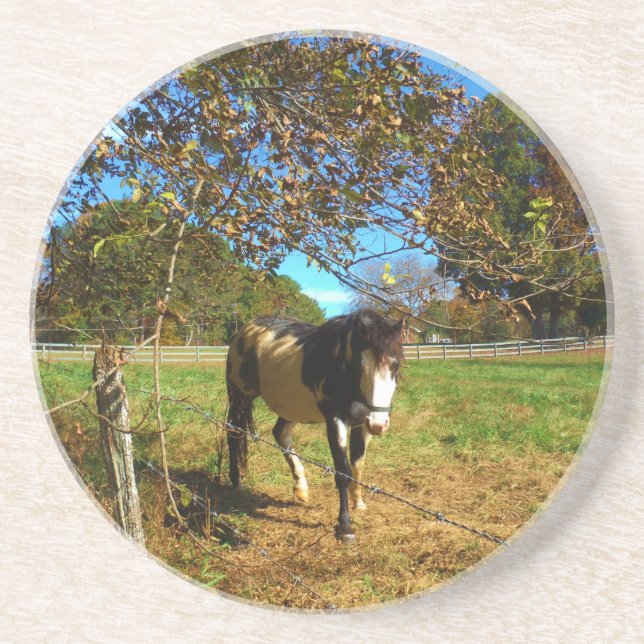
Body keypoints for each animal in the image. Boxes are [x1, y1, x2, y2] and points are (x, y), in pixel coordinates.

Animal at [225, 309, 403, 542]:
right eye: (359, 365)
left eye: (395, 365)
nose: (378, 424)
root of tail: (245, 329)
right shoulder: (336, 422)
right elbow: (342, 473)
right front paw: (345, 527)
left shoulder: (362, 425)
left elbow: (357, 465)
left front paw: (359, 502)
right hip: (239, 396)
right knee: (233, 434)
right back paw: (236, 483)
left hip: (291, 407)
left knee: (280, 434)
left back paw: (301, 488)